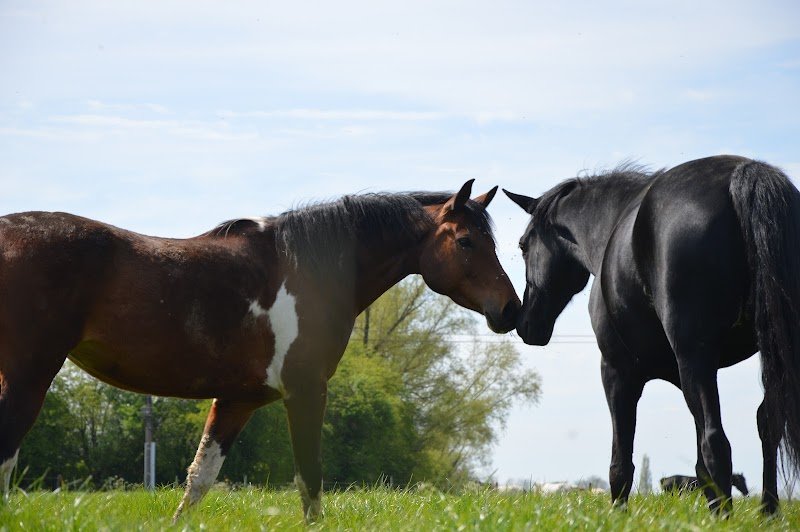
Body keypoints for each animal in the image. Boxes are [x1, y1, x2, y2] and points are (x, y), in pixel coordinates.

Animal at [0, 179, 520, 521]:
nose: (511, 309)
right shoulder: (306, 393)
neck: (311, 271)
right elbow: (310, 483)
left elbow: (199, 480)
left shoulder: (237, 400)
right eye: (467, 241)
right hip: (28, 377)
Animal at [504, 155, 800, 515]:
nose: (524, 322)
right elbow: (699, 467)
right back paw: (767, 512)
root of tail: (744, 174)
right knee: (767, 424)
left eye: (523, 245)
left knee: (716, 442)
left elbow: (622, 461)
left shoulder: (617, 372)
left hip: (694, 358)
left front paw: (618, 515)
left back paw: (724, 516)